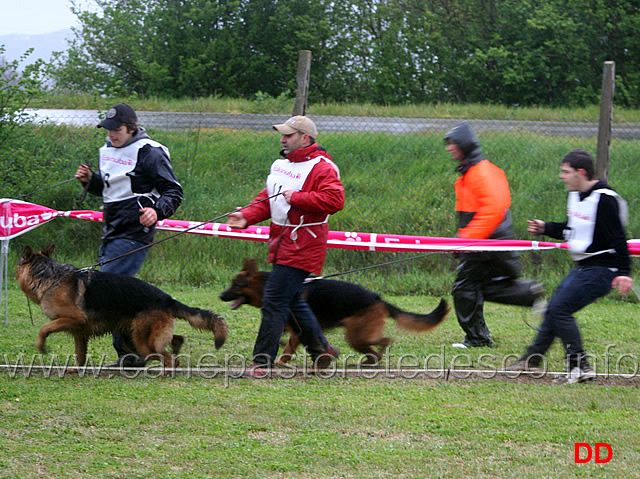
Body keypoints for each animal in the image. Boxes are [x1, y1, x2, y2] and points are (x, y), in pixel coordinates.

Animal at [17, 246, 229, 370]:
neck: (51, 277)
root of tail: (168, 299)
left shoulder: (75, 319)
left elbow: (44, 329)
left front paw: (41, 346)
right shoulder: (80, 332)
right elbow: (80, 355)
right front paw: (76, 370)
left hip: (142, 340)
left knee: (169, 359)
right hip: (141, 332)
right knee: (175, 340)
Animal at [220, 260, 450, 366]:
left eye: (236, 285)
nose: (221, 296)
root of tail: (379, 299)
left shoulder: (297, 332)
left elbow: (286, 350)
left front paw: (278, 363)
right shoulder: (293, 331)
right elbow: (283, 339)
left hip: (356, 336)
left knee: (383, 342)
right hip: (357, 337)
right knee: (377, 350)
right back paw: (366, 363)